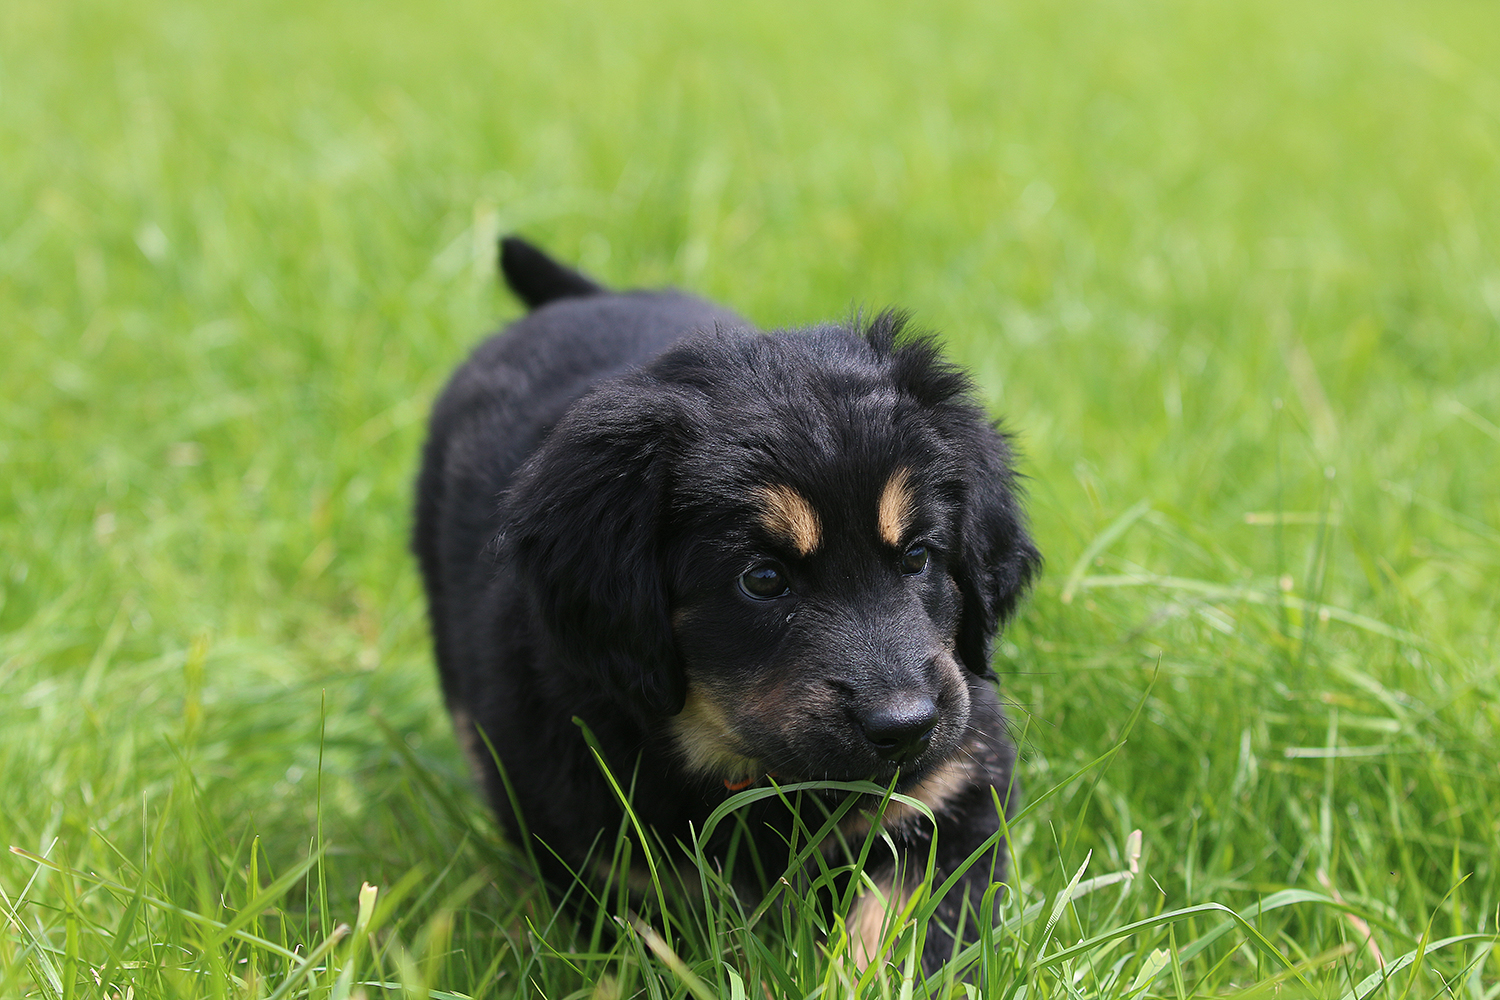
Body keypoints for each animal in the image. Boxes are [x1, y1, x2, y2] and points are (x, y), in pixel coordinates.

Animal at [413, 237, 1041, 975]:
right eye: (763, 580)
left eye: (917, 557)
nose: (907, 727)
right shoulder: (609, 865)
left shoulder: (953, 793)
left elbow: (898, 933)